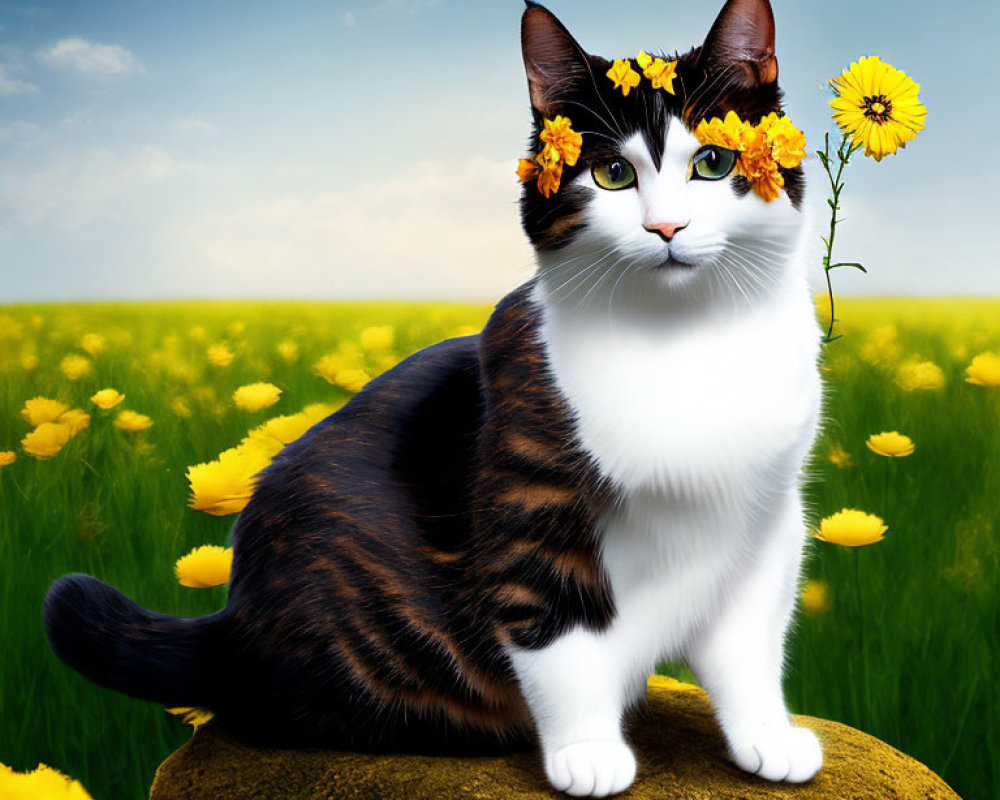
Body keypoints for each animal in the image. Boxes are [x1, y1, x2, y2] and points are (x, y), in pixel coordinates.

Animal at [45, 0, 820, 792]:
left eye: (714, 162)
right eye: (610, 174)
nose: (666, 226)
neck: (683, 343)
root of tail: (231, 623)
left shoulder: (767, 521)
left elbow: (749, 647)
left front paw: (766, 736)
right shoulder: (528, 508)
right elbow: (559, 637)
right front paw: (586, 753)